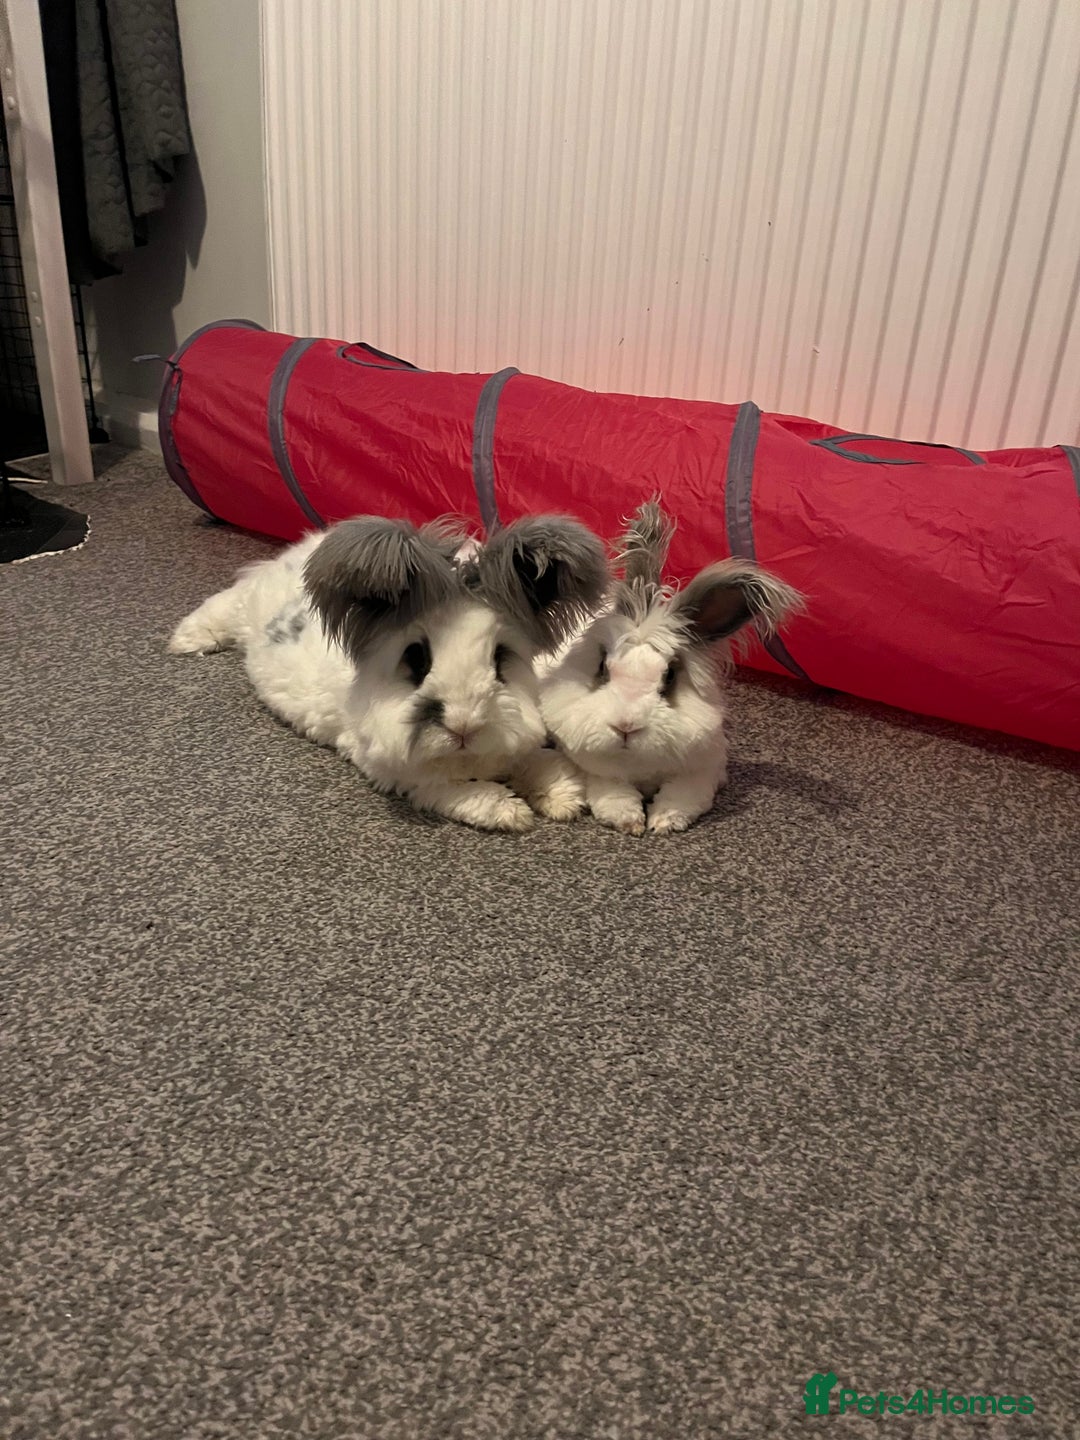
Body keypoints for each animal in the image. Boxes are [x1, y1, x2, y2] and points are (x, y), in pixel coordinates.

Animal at [169, 513, 608, 831]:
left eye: (500, 659)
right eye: (417, 659)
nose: (464, 726)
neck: (467, 757)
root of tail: (294, 553)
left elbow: (539, 763)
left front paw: (563, 799)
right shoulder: (403, 775)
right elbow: (458, 792)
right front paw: (509, 813)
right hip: (242, 608)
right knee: (222, 604)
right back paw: (185, 640)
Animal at [539, 500, 804, 836]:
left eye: (670, 676)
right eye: (602, 667)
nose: (626, 726)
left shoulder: (705, 768)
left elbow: (685, 794)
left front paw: (664, 820)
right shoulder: (589, 763)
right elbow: (610, 789)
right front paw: (628, 820)